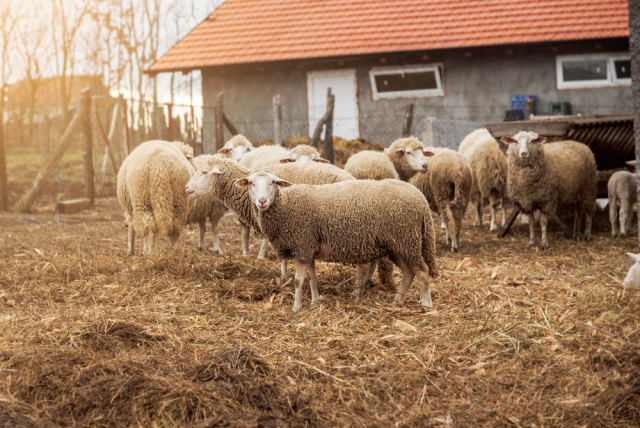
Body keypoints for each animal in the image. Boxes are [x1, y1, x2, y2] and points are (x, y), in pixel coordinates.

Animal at [235, 171, 440, 310]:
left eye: (272, 183)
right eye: (251, 183)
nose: (262, 201)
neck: (286, 206)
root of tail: (421, 199)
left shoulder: (302, 244)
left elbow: (298, 281)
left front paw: (296, 307)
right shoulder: (309, 247)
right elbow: (312, 278)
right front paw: (315, 301)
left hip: (406, 240)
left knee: (422, 272)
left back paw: (426, 305)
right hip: (398, 245)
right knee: (409, 273)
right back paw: (397, 301)